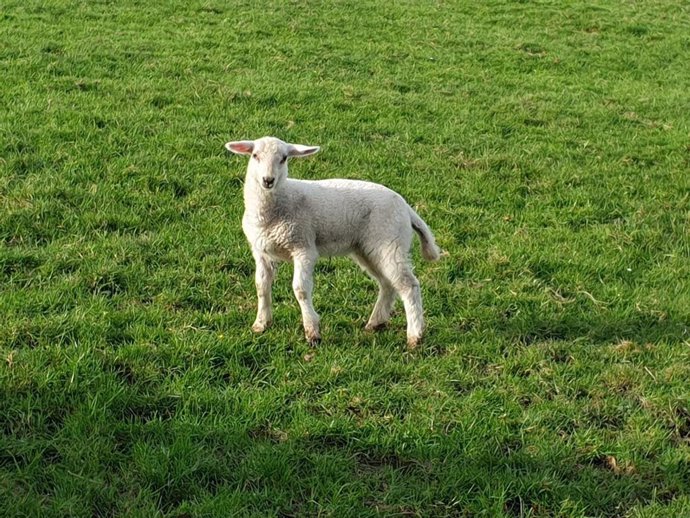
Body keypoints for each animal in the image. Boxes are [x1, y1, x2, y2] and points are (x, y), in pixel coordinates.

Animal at [226, 137, 440, 350]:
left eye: (284, 158)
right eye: (255, 155)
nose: (268, 180)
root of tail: (406, 207)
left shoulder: (304, 247)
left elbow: (300, 289)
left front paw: (312, 333)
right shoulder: (261, 252)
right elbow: (261, 286)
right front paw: (261, 324)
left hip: (390, 242)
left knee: (408, 285)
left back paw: (414, 336)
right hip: (369, 248)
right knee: (388, 284)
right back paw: (375, 323)